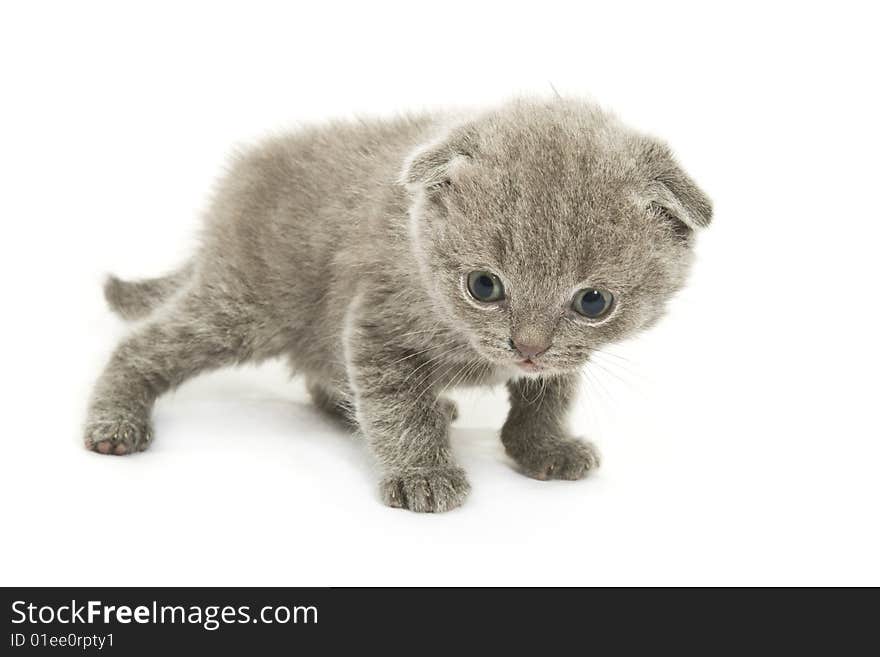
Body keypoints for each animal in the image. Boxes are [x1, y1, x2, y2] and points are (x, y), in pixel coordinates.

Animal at [86, 100, 712, 516]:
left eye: (593, 301)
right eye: (484, 287)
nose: (528, 347)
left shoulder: (564, 358)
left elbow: (549, 395)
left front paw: (545, 447)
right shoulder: (377, 326)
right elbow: (399, 412)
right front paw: (423, 475)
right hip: (245, 305)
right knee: (142, 345)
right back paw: (115, 422)